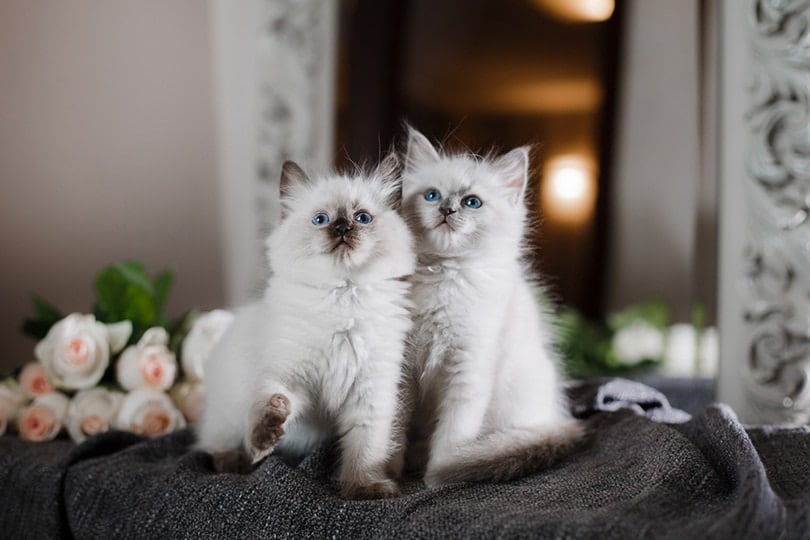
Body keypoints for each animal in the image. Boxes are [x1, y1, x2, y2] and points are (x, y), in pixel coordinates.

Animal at [193, 155, 414, 498]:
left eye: (362, 218)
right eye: (321, 219)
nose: (342, 228)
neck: (343, 299)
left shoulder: (371, 393)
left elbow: (365, 448)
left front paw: (365, 488)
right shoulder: (291, 376)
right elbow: (271, 404)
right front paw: (265, 437)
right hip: (226, 414)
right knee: (212, 443)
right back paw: (234, 460)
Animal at [396, 129, 580, 488]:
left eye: (472, 202)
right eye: (432, 195)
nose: (447, 209)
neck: (444, 277)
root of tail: (555, 416)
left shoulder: (469, 368)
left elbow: (452, 436)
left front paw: (439, 475)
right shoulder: (401, 363)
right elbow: (391, 427)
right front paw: (385, 472)